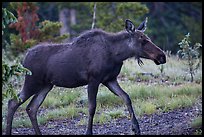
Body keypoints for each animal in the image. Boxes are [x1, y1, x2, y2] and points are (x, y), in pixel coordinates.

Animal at [5, 17, 166, 135]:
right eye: (142, 40)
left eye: (148, 38)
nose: (162, 56)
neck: (116, 54)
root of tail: (24, 58)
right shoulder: (94, 80)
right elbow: (92, 107)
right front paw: (88, 132)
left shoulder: (110, 79)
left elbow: (126, 97)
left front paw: (136, 128)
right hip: (32, 82)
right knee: (13, 102)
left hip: (46, 85)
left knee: (31, 108)